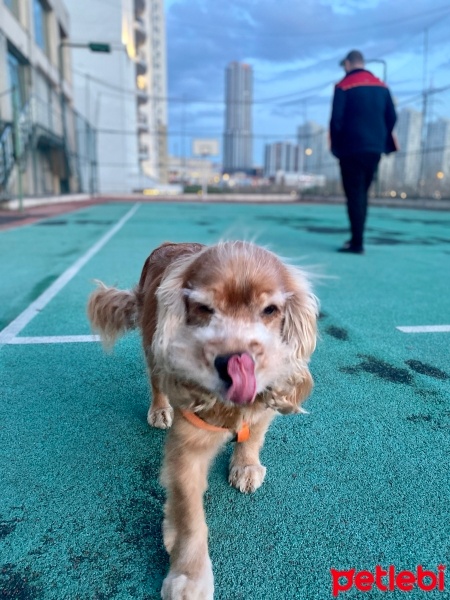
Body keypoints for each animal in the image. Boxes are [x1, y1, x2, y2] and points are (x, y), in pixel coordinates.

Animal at [88, 240, 318, 600]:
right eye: (204, 308)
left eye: (270, 310)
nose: (235, 363)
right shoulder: (188, 447)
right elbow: (190, 516)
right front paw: (190, 576)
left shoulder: (264, 404)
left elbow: (254, 435)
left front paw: (245, 465)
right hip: (154, 345)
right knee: (156, 381)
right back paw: (159, 409)